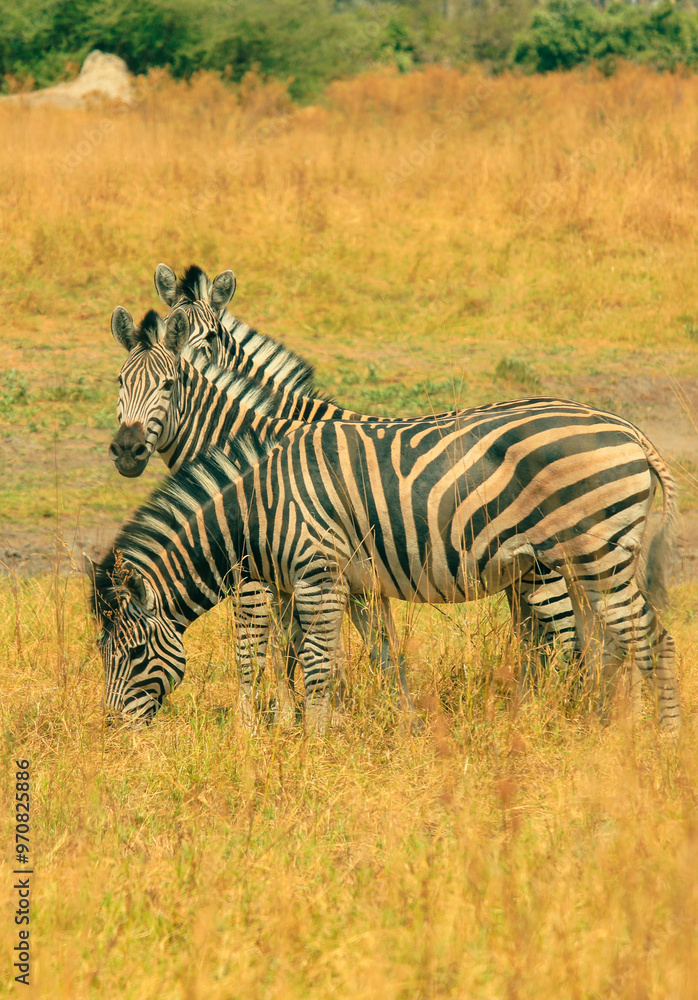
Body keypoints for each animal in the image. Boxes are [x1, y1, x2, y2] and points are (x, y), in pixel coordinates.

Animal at [87, 397, 680, 733]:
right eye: (102, 654)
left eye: (133, 653)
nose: (113, 731)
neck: (261, 507)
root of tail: (628, 429)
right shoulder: (335, 585)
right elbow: (342, 656)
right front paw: (315, 730)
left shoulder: (318, 575)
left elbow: (314, 662)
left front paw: (314, 741)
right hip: (584, 563)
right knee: (611, 645)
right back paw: (605, 726)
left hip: (599, 555)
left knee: (652, 639)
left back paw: (661, 738)